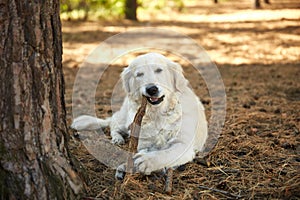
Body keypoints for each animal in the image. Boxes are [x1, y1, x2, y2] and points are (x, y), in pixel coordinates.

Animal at [71, 52, 206, 178]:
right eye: (139, 74)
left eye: (159, 70)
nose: (151, 89)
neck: (157, 114)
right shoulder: (143, 143)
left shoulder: (183, 144)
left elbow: (166, 153)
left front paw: (148, 161)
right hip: (126, 120)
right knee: (113, 125)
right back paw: (117, 138)